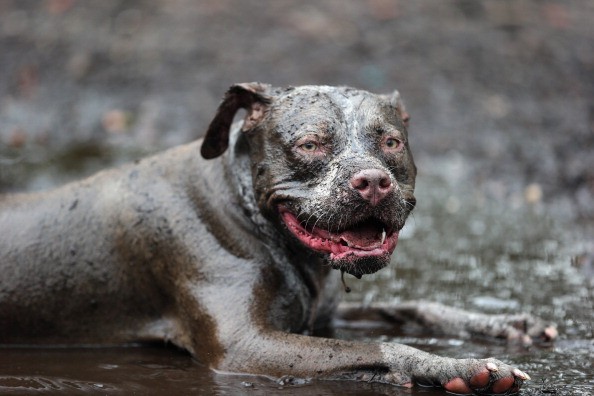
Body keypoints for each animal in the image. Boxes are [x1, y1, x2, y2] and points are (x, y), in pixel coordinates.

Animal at [1, 83, 556, 392]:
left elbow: (414, 309)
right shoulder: (245, 347)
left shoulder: (321, 316)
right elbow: (385, 345)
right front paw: (458, 366)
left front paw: (503, 325)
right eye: (310, 145)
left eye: (391, 142)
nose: (373, 181)